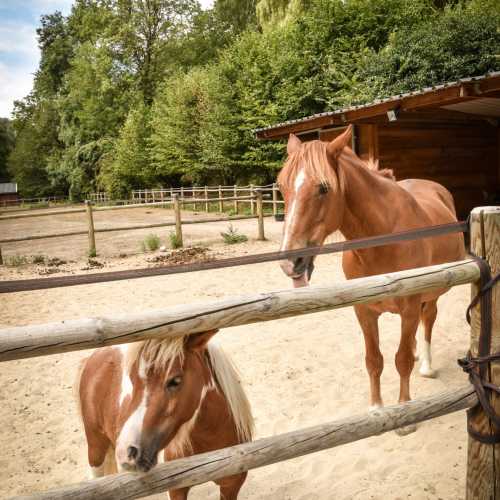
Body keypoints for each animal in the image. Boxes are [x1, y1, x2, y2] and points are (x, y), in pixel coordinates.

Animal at [77, 330, 254, 498]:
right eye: (132, 380)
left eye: (175, 381)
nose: (127, 451)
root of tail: (97, 353)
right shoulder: (176, 489)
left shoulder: (231, 486)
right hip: (96, 449)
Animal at [278, 126, 464, 430]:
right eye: (282, 186)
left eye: (323, 188)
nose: (290, 261)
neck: (383, 238)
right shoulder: (363, 310)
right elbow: (374, 360)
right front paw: (376, 409)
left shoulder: (410, 305)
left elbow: (401, 360)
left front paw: (405, 413)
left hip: (433, 293)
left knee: (427, 321)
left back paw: (425, 364)